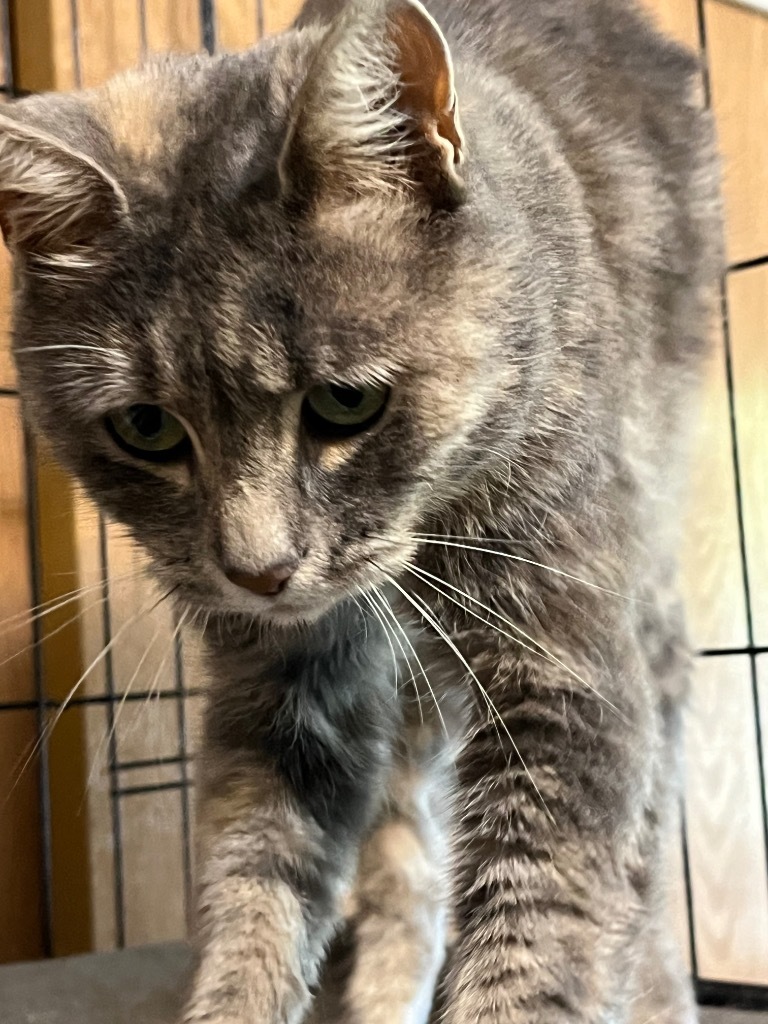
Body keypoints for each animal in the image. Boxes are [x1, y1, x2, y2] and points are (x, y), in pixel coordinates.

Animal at [0, 0, 720, 1019]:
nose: (258, 571)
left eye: (346, 403)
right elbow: (257, 882)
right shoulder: (284, 690)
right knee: (405, 858)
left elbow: (544, 917)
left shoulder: (565, 662)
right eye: (146, 427)